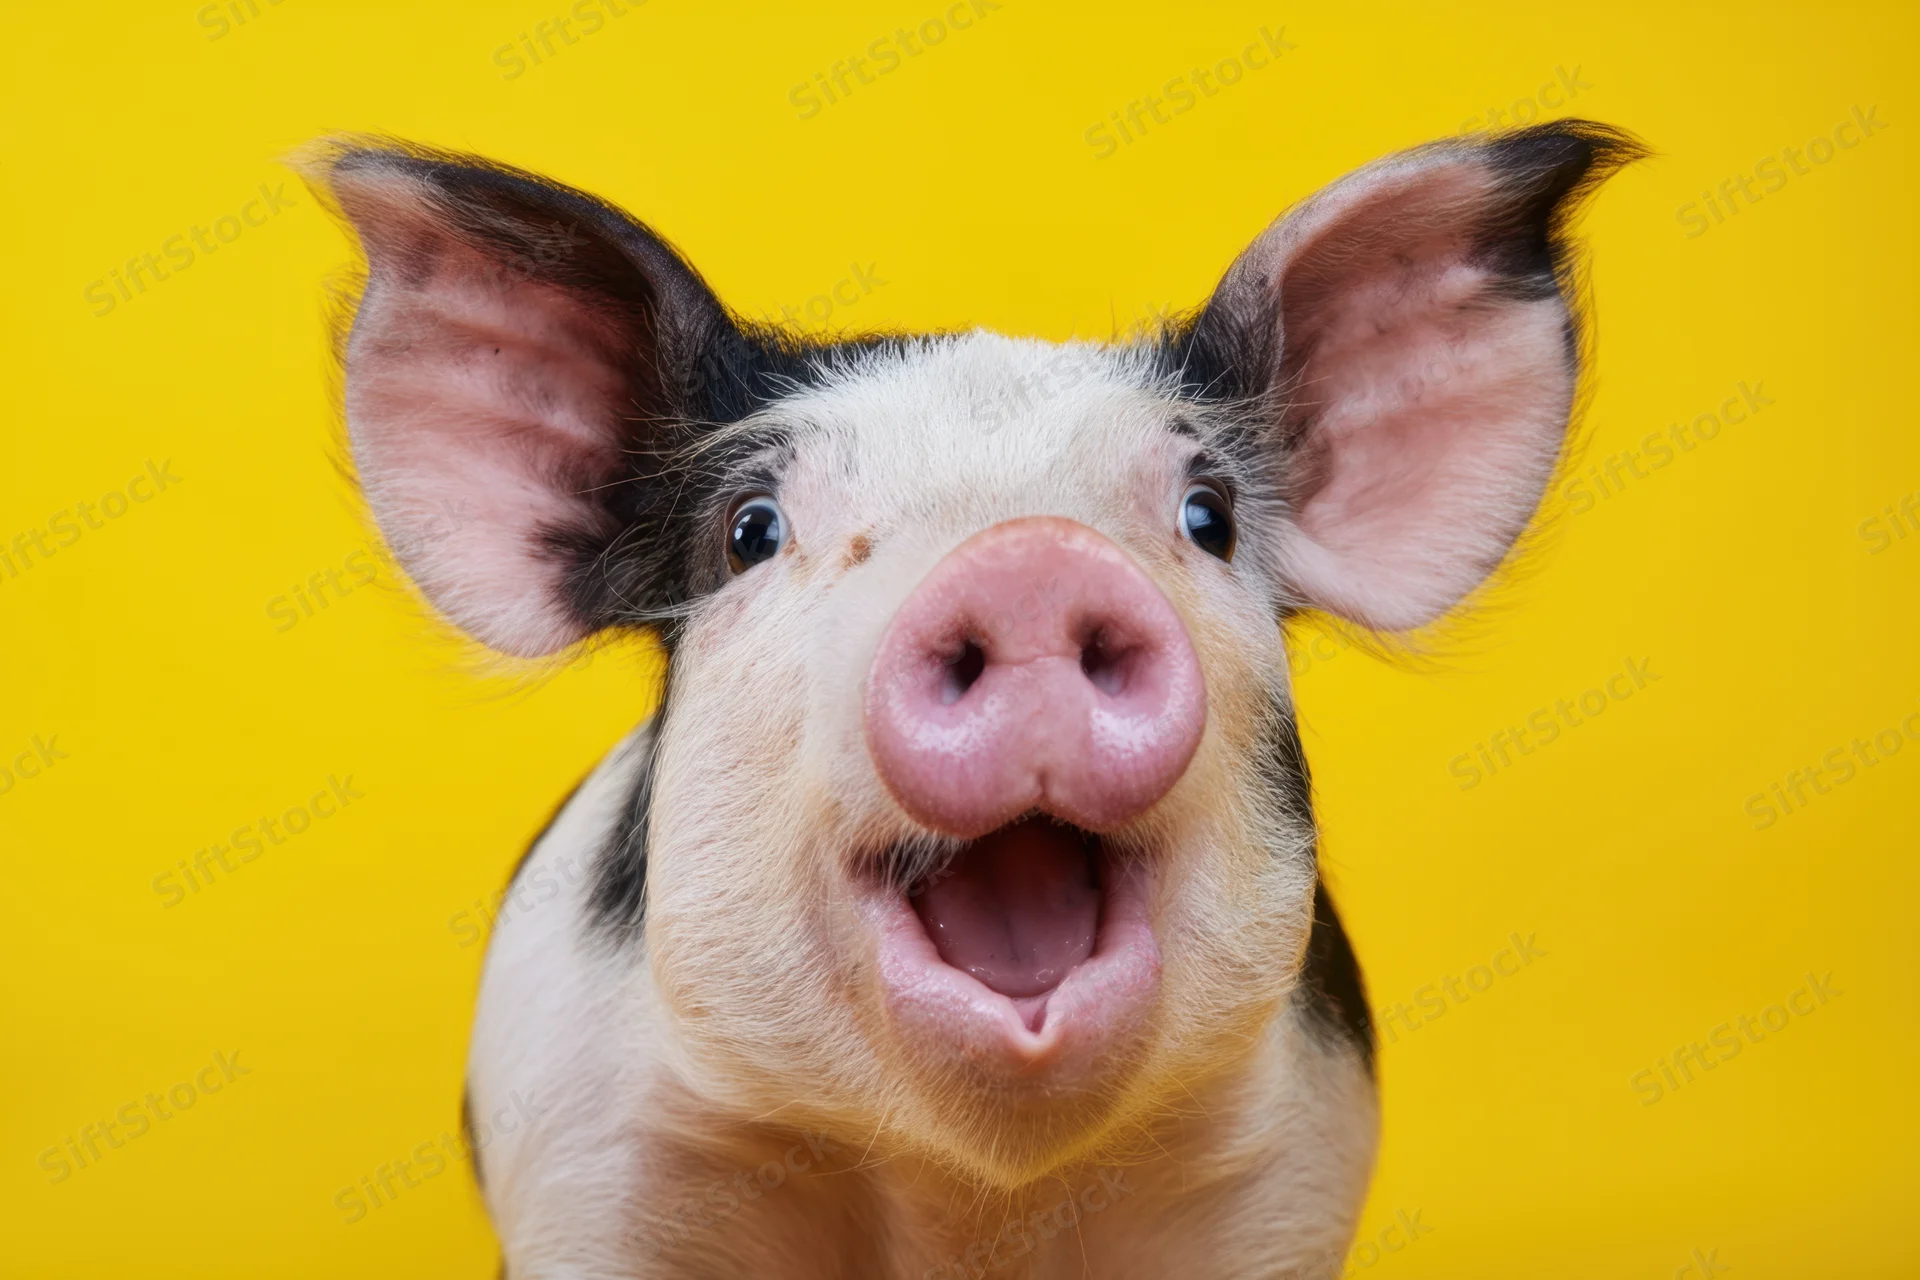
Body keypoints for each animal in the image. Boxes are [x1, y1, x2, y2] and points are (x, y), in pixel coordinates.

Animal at [300, 119, 1640, 1277]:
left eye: (1208, 515)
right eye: (749, 529)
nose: (1028, 559)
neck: (967, 1196)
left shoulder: (1288, 1175)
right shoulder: (584, 1169)